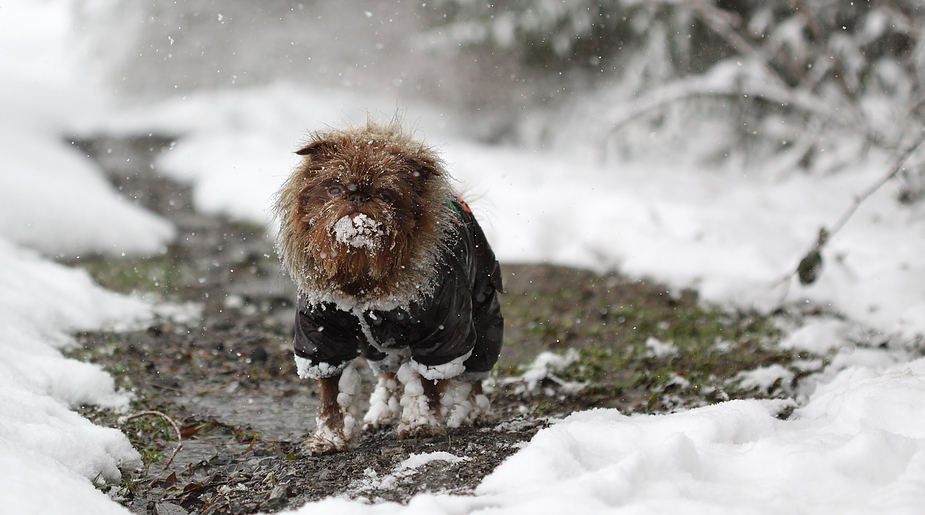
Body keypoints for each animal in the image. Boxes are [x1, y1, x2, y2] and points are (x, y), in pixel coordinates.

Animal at [274, 119, 506, 454]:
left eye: (385, 194)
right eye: (334, 188)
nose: (357, 197)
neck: (362, 276)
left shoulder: (442, 332)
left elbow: (428, 382)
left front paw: (421, 422)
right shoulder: (321, 334)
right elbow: (331, 391)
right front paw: (331, 436)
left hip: (484, 317)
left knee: (473, 374)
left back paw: (474, 411)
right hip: (377, 346)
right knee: (389, 374)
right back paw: (382, 413)